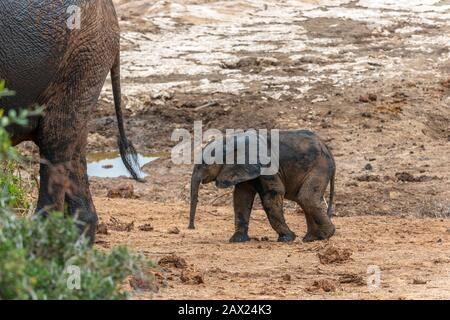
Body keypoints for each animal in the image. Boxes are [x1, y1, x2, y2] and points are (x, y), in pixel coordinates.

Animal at [188, 130, 336, 242]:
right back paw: (311, 238)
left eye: (203, 165)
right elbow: (241, 197)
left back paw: (325, 235)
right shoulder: (243, 168)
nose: (191, 227)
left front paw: (287, 238)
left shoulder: (266, 165)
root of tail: (327, 147)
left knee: (306, 197)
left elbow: (273, 194)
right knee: (304, 200)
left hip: (320, 166)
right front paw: (237, 240)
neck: (231, 141)